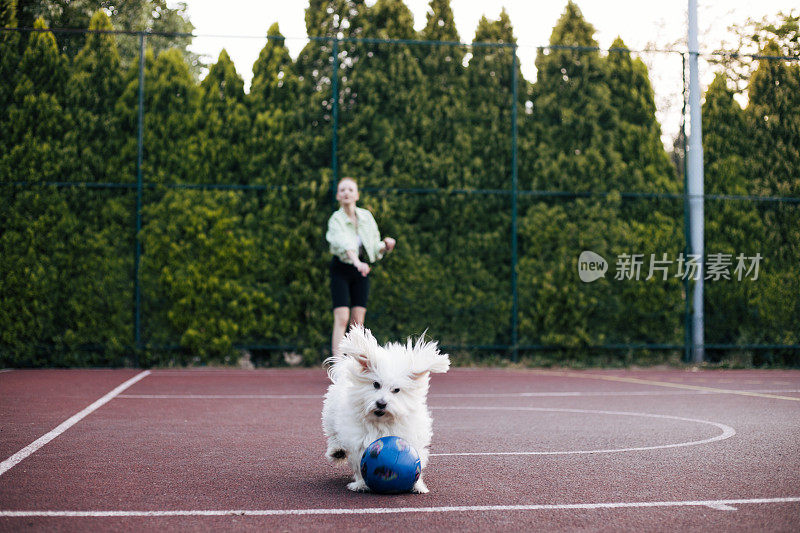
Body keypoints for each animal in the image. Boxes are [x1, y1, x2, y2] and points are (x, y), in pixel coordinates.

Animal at [324, 326, 450, 492]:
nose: (381, 403)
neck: (382, 422)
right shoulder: (359, 440)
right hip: (330, 416)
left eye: (396, 390)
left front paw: (418, 486)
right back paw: (337, 451)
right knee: (333, 435)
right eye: (376, 384)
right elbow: (359, 462)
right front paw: (361, 484)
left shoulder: (411, 435)